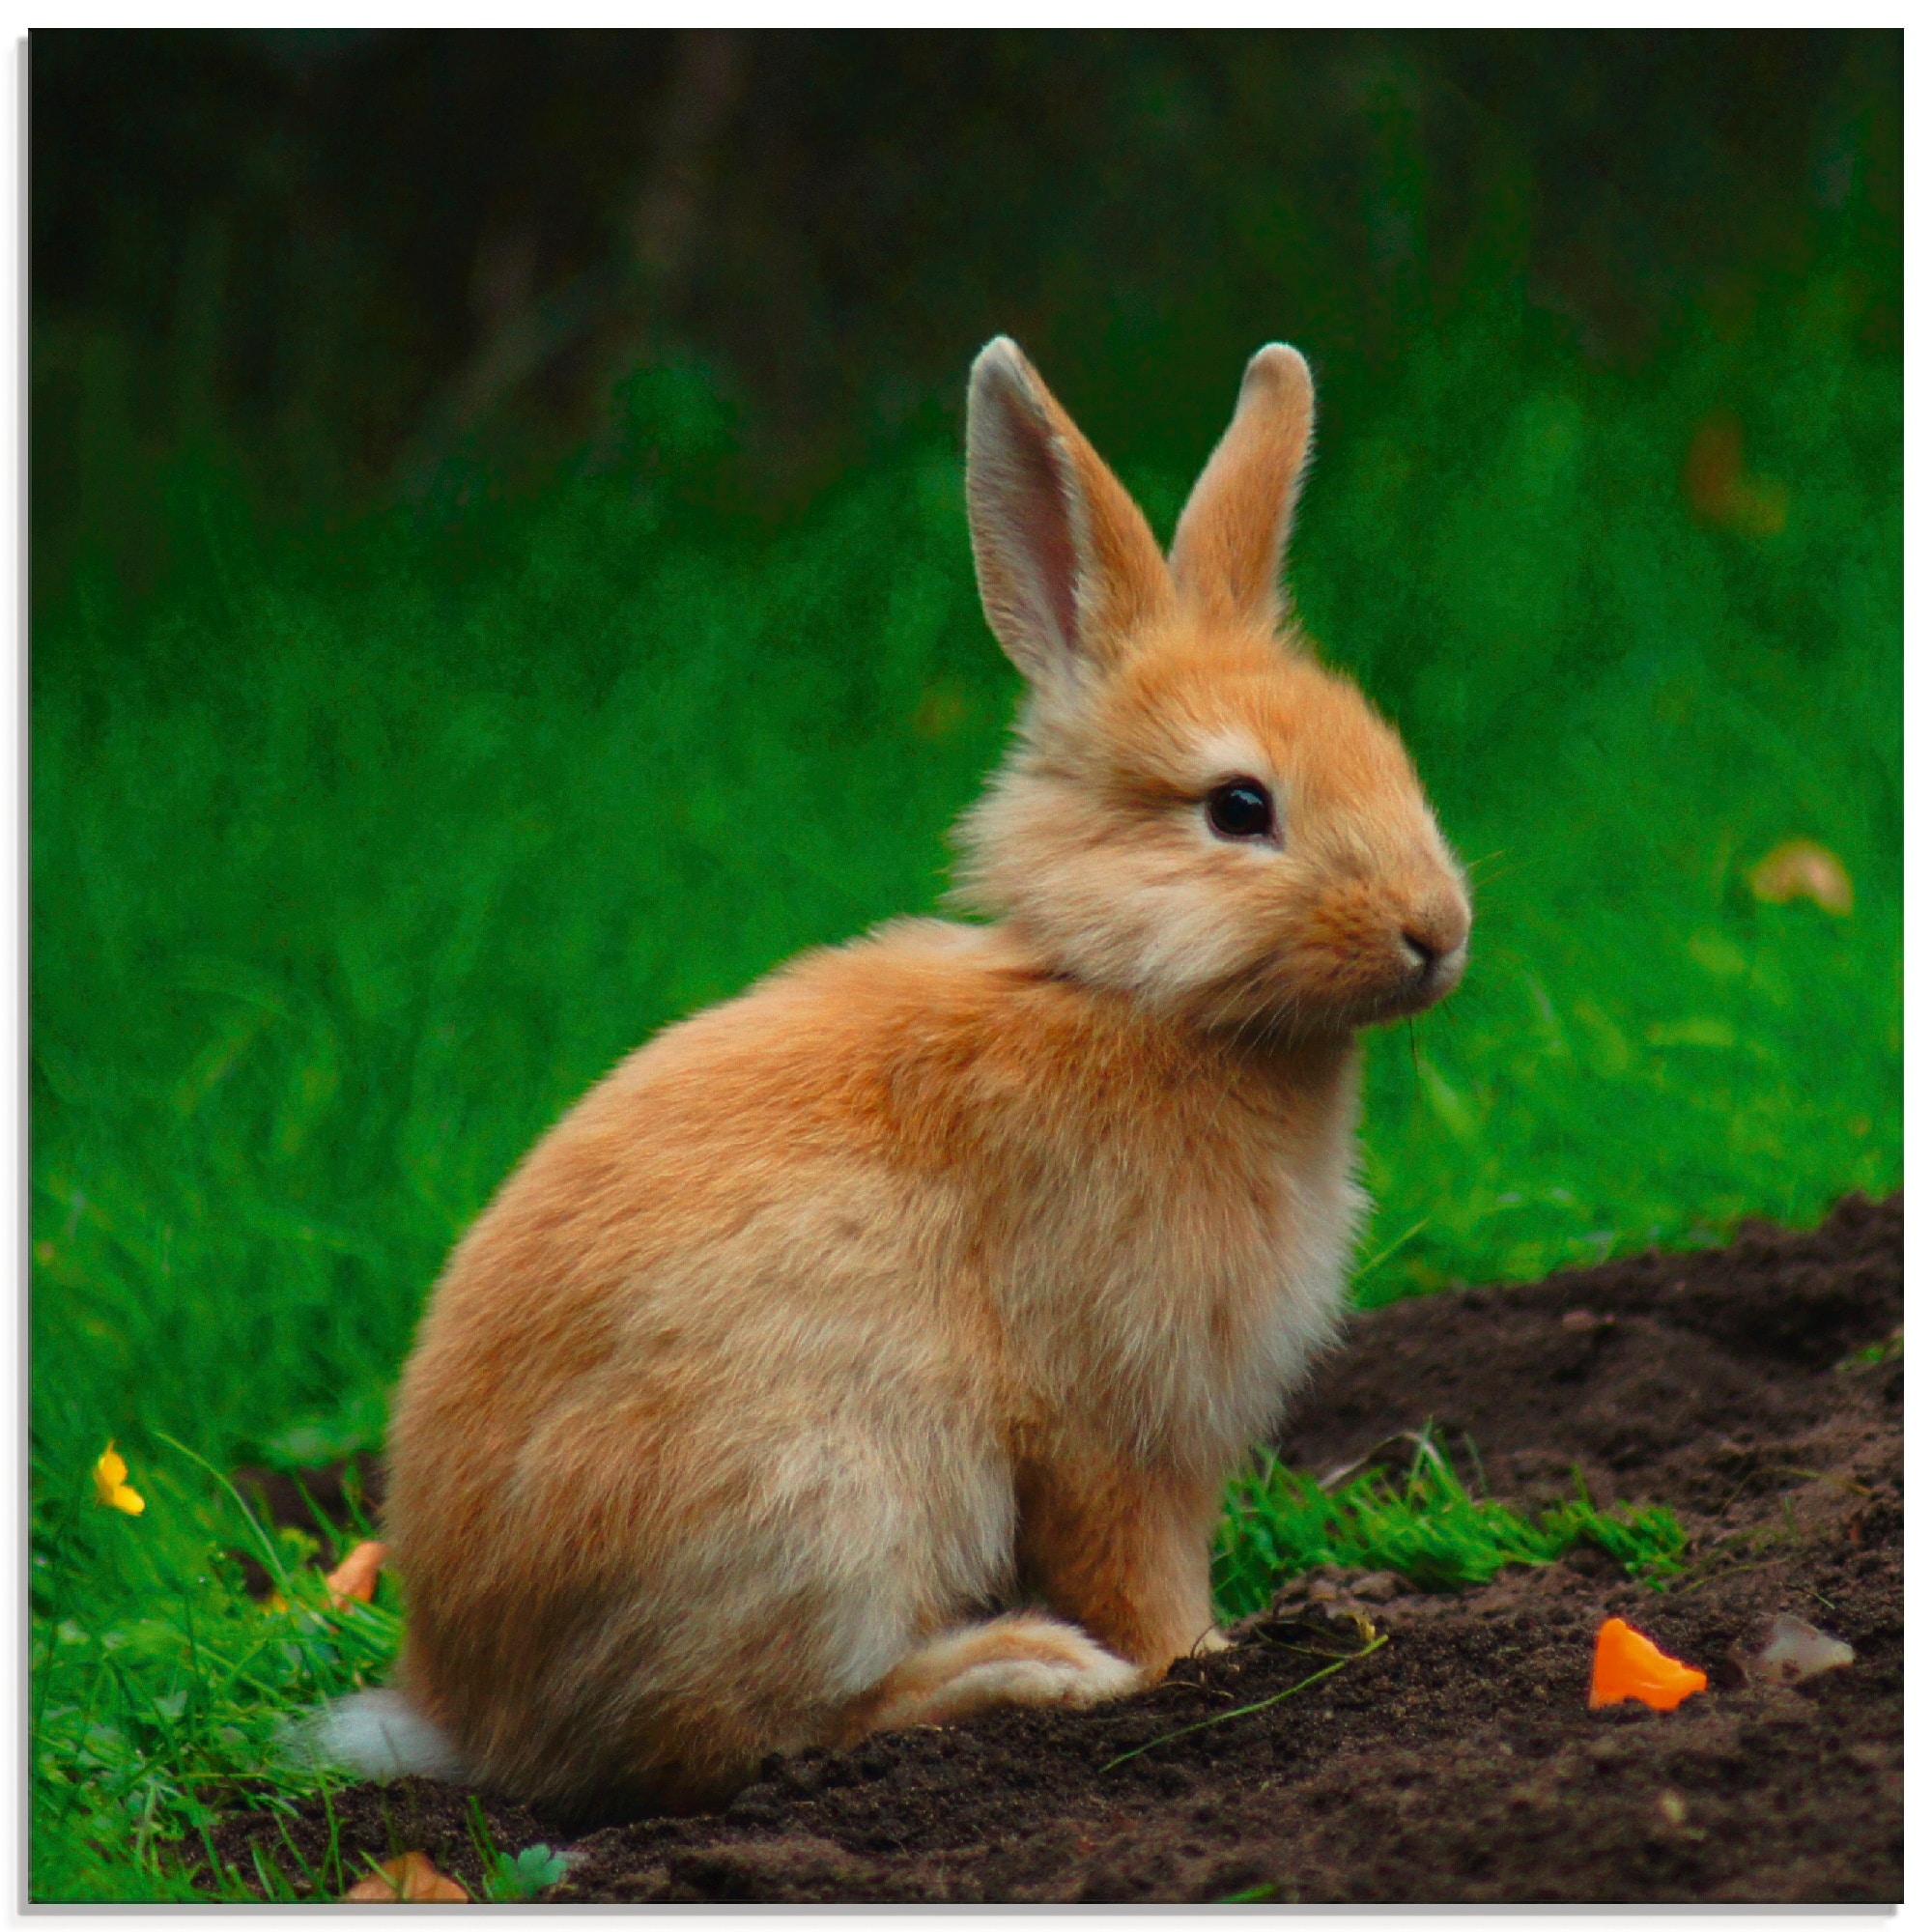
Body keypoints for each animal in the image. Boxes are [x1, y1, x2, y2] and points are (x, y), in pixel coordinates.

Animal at [321, 336, 1461, 1824]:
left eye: (1385, 750)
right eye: (1238, 809)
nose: (1439, 931)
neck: (1130, 991)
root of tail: (468, 1710)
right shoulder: (1110, 1421)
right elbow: (1138, 1571)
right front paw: (1203, 1663)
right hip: (824, 1504)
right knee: (738, 1734)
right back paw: (1021, 1671)